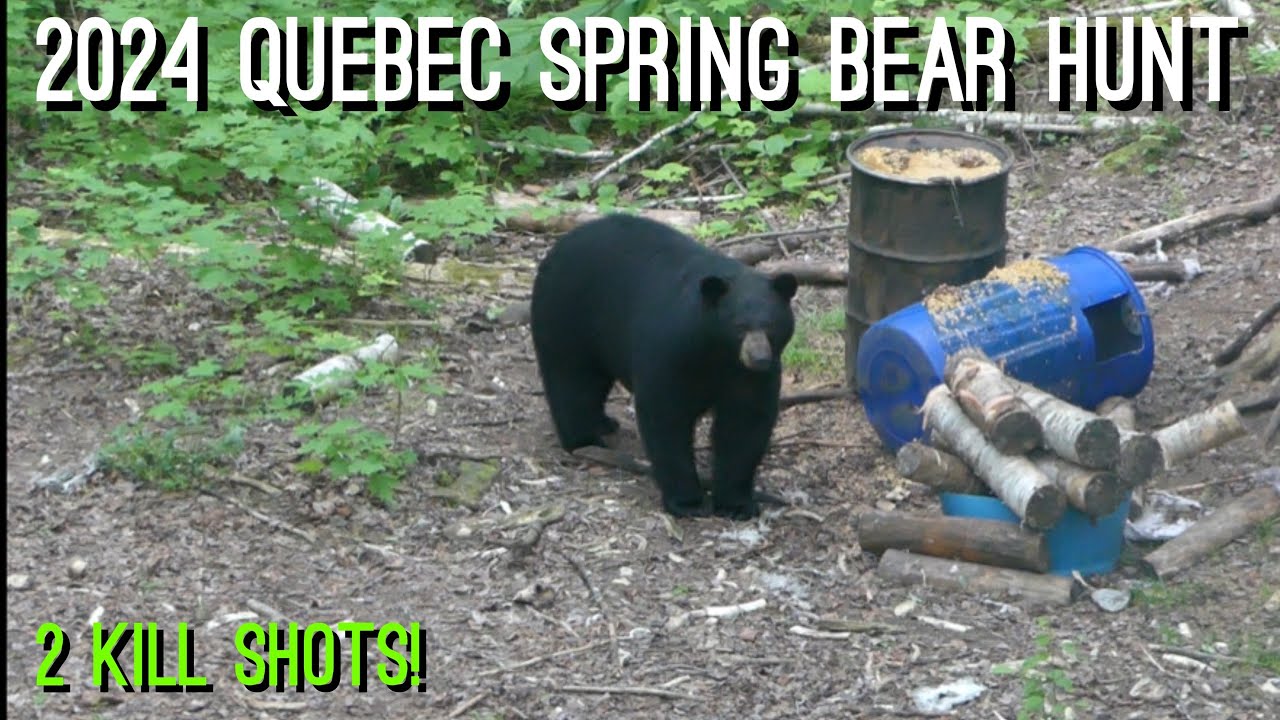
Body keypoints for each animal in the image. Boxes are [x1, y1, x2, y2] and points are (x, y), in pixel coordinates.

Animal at [529, 213, 798, 520]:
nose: (759, 358)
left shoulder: (748, 377)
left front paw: (736, 503)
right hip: (567, 315)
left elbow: (745, 423)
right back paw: (584, 439)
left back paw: (604, 423)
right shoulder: (671, 351)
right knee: (571, 379)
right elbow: (666, 416)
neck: (716, 352)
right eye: (739, 326)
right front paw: (687, 501)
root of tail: (559, 244)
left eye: (772, 326)